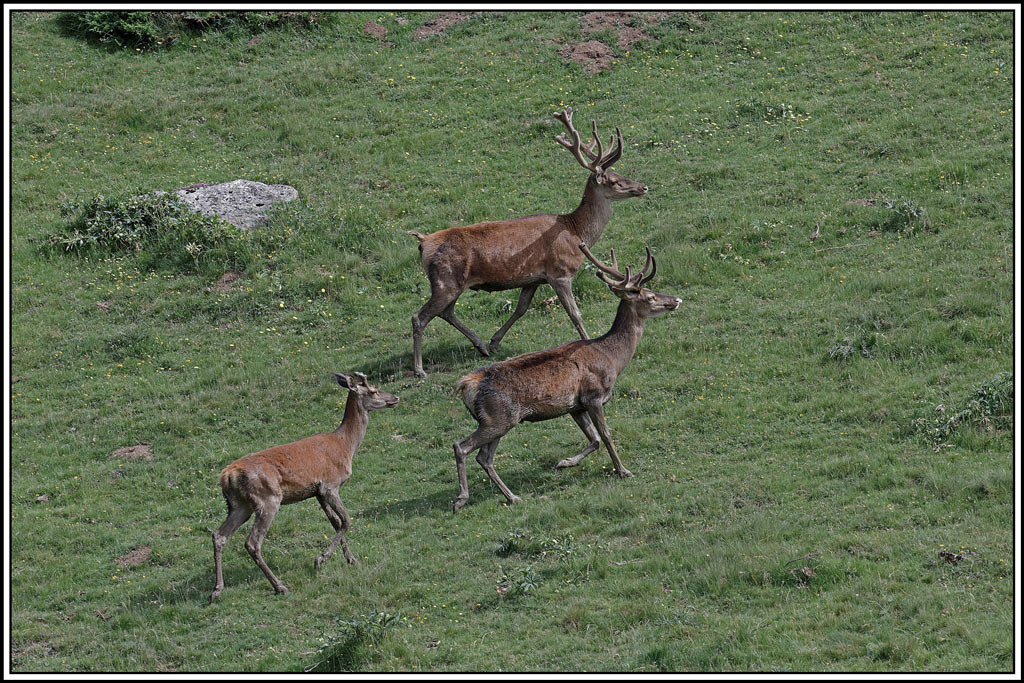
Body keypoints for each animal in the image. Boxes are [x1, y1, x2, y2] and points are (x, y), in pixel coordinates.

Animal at [209, 372, 399, 602]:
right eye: (374, 391)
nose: (395, 398)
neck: (346, 446)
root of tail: (227, 476)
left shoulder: (317, 492)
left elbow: (335, 522)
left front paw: (351, 559)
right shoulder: (330, 485)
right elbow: (346, 520)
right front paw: (321, 559)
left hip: (239, 506)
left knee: (219, 535)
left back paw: (217, 590)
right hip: (268, 499)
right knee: (252, 543)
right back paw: (280, 586)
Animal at [408, 107, 649, 377]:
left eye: (619, 174)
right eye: (614, 181)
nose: (642, 187)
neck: (577, 231)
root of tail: (423, 242)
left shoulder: (533, 278)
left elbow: (521, 308)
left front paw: (495, 341)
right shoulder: (560, 272)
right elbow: (574, 313)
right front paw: (588, 340)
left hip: (451, 283)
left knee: (446, 312)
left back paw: (481, 346)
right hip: (445, 280)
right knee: (420, 317)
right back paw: (419, 369)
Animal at [450, 243, 681, 511]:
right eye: (649, 296)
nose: (675, 300)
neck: (613, 359)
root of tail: (467, 385)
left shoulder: (575, 407)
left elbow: (594, 440)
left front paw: (564, 462)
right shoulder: (593, 396)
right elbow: (606, 436)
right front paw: (623, 470)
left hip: (498, 421)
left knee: (484, 457)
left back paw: (512, 497)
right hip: (497, 419)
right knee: (461, 446)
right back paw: (461, 499)